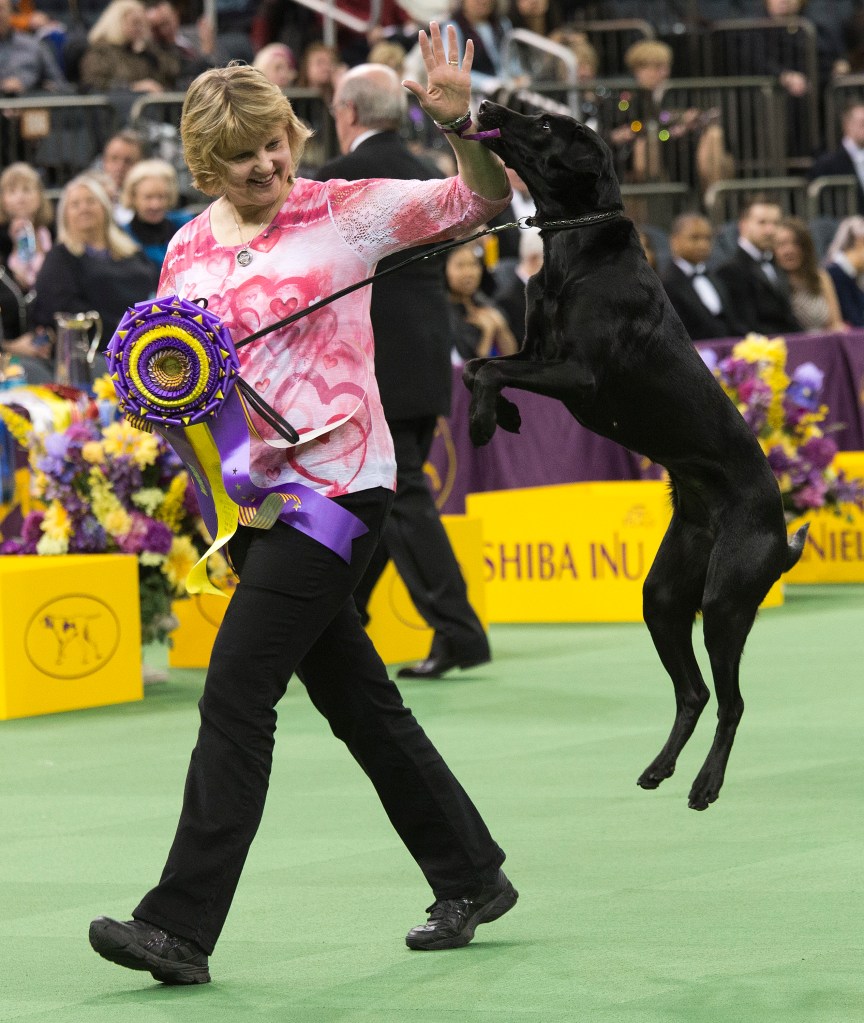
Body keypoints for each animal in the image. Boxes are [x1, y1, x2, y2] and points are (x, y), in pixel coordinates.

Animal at [464, 101, 809, 806]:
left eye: (544, 124)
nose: (487, 104)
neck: (574, 251)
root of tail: (776, 529)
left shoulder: (579, 377)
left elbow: (488, 370)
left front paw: (487, 422)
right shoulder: (536, 352)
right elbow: (479, 365)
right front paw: (502, 414)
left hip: (725, 599)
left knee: (731, 699)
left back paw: (705, 784)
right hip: (664, 594)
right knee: (693, 691)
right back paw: (660, 769)